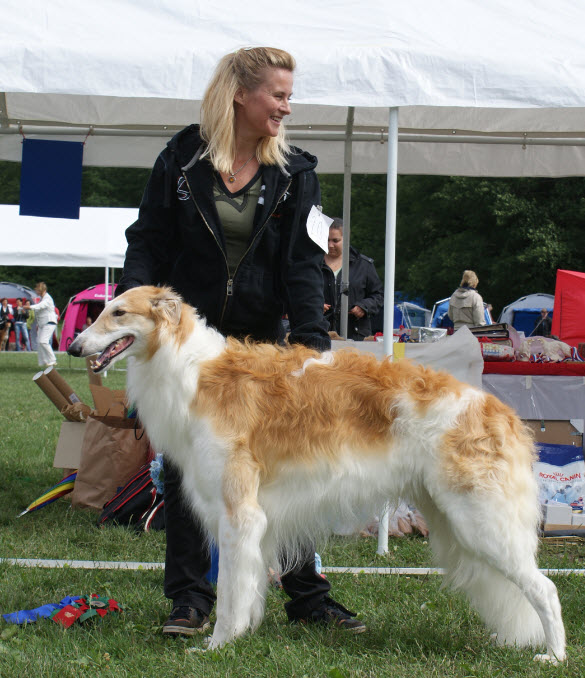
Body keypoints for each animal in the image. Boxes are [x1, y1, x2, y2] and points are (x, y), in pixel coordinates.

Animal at [68, 286, 564, 664]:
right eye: (103, 309)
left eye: (118, 313)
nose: (73, 346)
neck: (192, 370)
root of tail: (501, 411)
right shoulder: (249, 522)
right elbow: (246, 590)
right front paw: (239, 634)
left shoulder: (239, 514)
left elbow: (229, 594)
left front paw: (218, 645)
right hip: (459, 522)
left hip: (481, 521)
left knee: (547, 588)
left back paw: (554, 655)